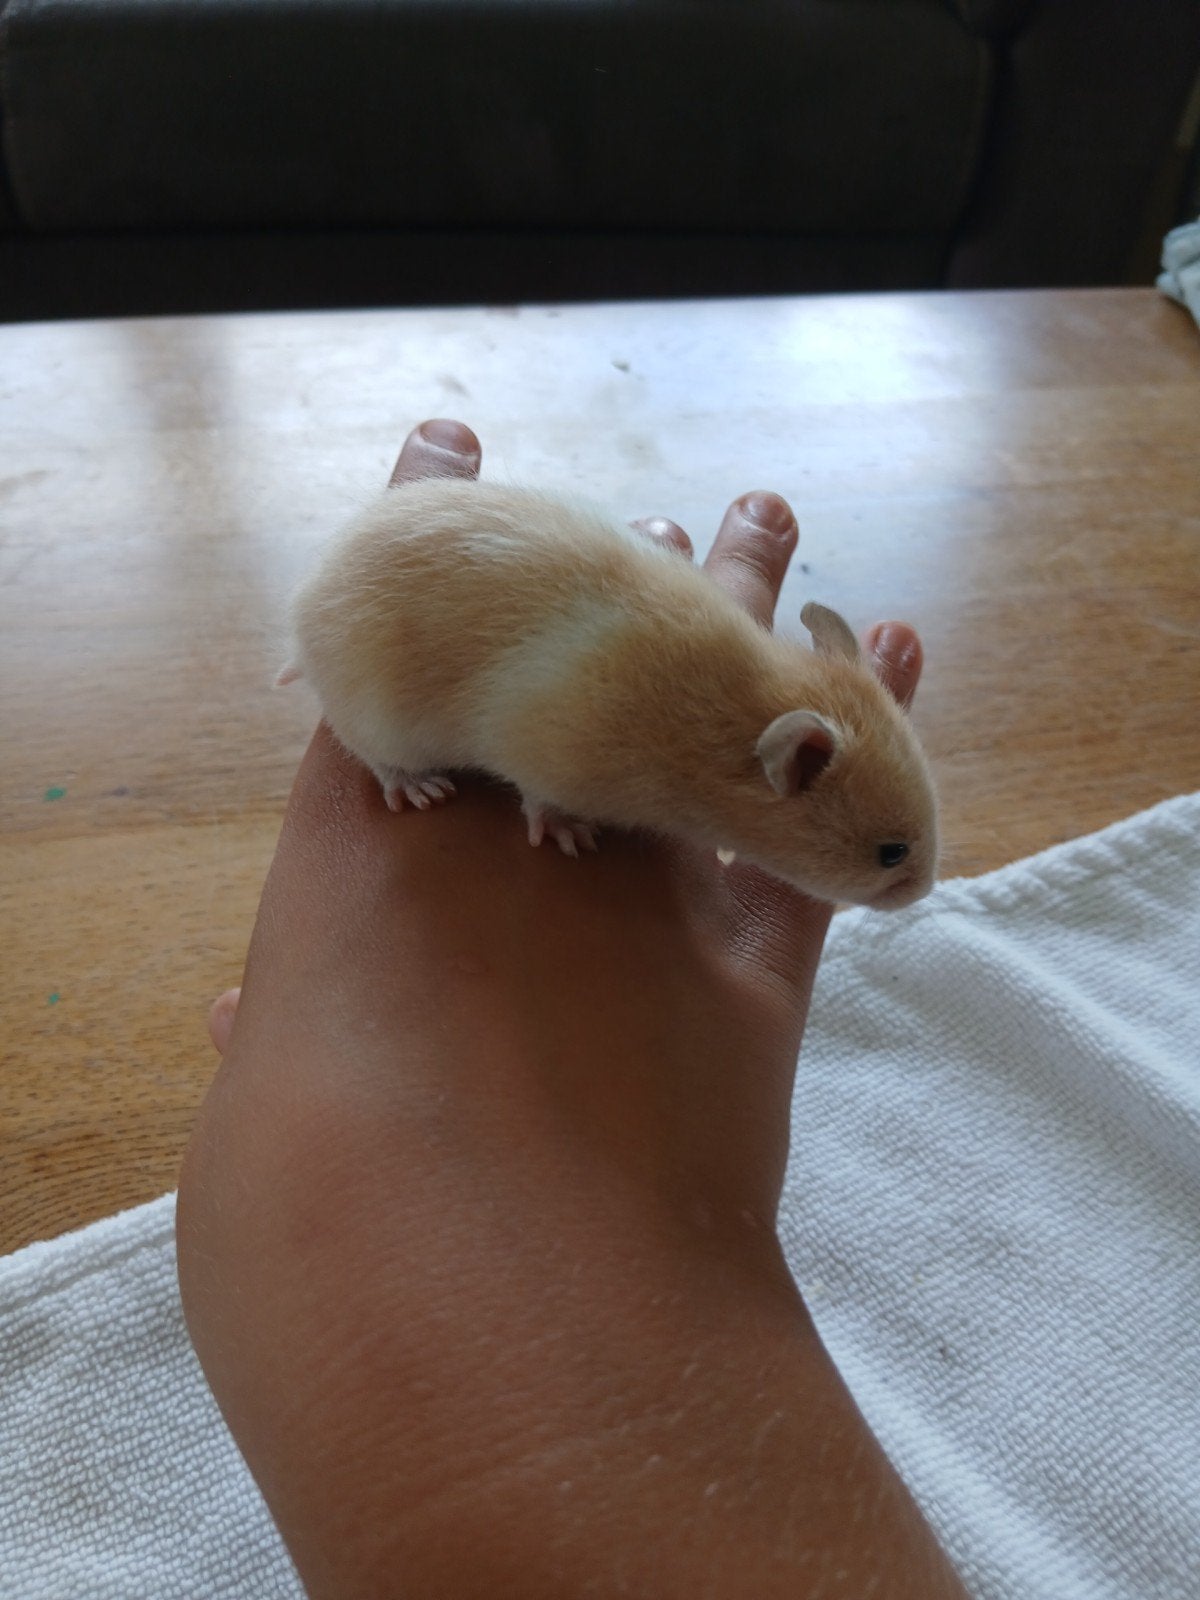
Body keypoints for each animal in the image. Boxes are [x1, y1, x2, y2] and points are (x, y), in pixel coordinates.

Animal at [283, 478, 938, 909]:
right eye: (891, 853)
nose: (925, 894)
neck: (725, 734)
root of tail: (304, 622)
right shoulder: (543, 751)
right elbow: (541, 804)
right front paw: (574, 838)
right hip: (375, 715)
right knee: (376, 759)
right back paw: (419, 789)